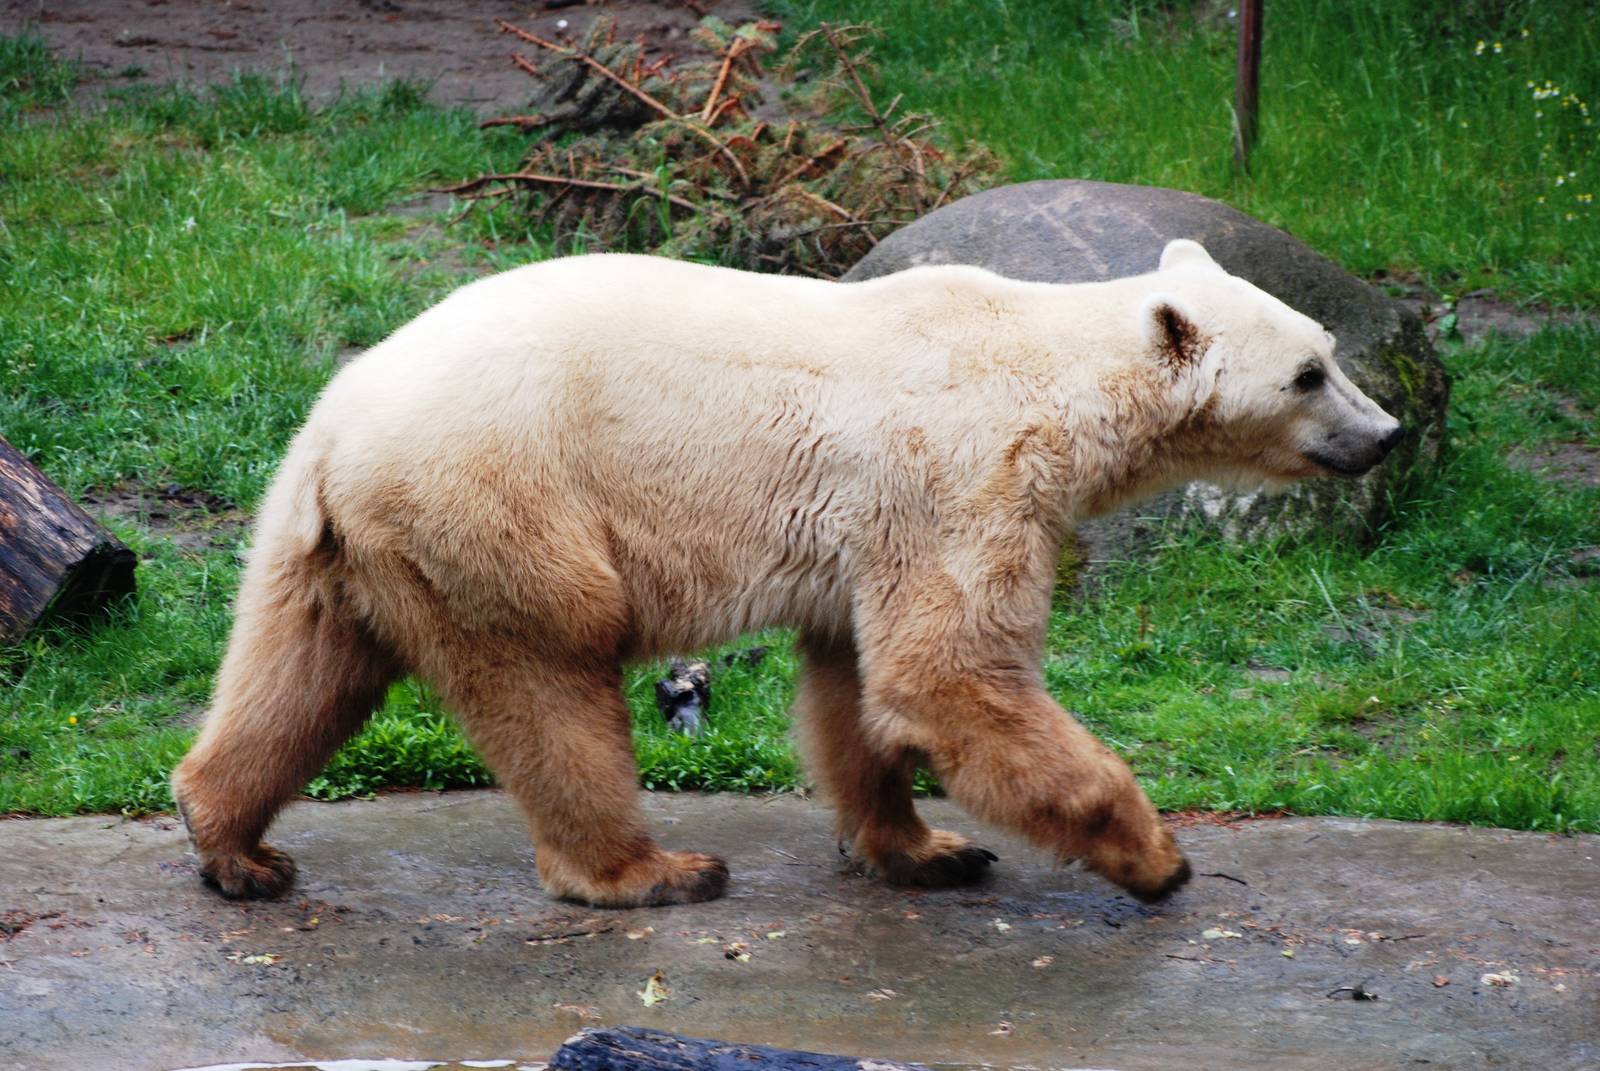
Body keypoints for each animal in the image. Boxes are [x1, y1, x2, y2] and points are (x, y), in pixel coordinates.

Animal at [172, 238, 1401, 909]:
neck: (1043, 367)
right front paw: (1156, 859)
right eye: (1308, 373)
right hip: (498, 502)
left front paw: (926, 847)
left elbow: (857, 685)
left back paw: (232, 839)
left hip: (336, 541)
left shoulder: (874, 523)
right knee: (551, 675)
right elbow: (949, 674)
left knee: (299, 669)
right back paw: (651, 870)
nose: (1385, 435)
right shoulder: (958, 474)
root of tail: (336, 433)